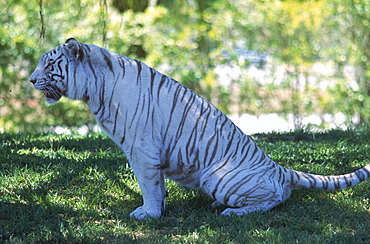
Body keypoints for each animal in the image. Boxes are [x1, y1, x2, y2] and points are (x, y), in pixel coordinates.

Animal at [29, 38, 370, 219]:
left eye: (49, 65)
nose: (31, 80)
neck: (94, 89)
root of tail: (278, 168)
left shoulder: (142, 151)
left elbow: (148, 185)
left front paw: (148, 214)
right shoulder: (147, 154)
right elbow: (157, 187)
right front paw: (157, 209)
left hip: (216, 176)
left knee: (276, 198)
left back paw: (232, 211)